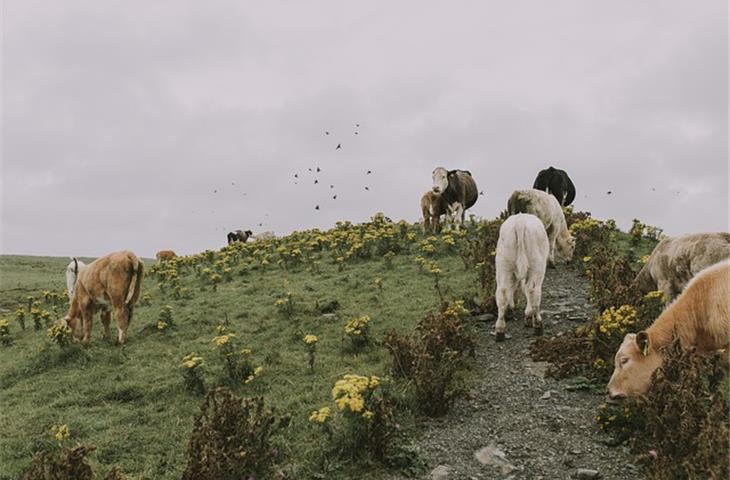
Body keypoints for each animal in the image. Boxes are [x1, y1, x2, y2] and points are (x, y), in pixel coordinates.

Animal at [492, 214, 548, 342]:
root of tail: (520, 222)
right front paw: (528, 316)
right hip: (537, 265)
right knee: (533, 291)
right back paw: (538, 325)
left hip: (503, 264)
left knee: (502, 293)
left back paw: (500, 330)